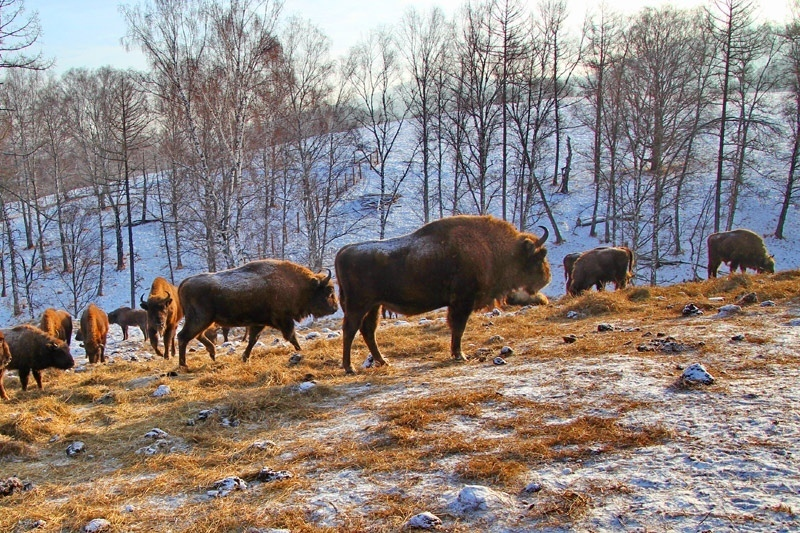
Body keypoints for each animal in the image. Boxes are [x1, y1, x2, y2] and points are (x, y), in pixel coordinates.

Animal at [177, 258, 340, 366]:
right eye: (329, 291)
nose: (335, 308)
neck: (300, 286)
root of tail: (184, 283)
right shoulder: (284, 320)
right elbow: (291, 336)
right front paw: (300, 350)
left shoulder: (259, 323)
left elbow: (253, 340)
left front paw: (245, 357)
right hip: (200, 319)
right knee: (183, 336)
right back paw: (184, 364)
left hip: (204, 321)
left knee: (197, 335)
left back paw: (212, 354)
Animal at [332, 213, 552, 374]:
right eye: (539, 255)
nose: (547, 278)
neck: (490, 247)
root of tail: (343, 251)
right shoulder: (463, 302)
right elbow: (459, 328)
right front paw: (460, 355)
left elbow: (456, 328)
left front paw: (457, 354)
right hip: (358, 306)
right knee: (350, 331)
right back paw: (350, 368)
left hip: (374, 306)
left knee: (368, 331)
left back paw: (383, 361)